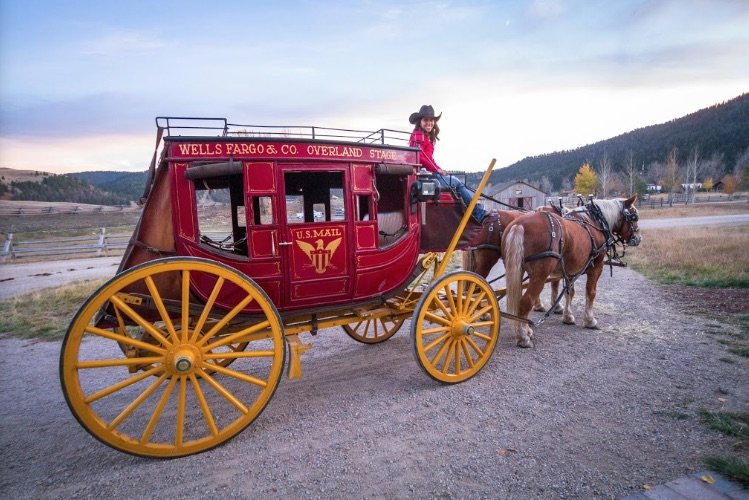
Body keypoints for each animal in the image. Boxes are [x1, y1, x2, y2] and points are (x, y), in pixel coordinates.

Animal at [502, 195, 636, 348]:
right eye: (634, 216)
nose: (637, 238)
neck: (594, 222)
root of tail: (519, 225)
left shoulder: (571, 270)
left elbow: (569, 292)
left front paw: (568, 316)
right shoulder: (597, 266)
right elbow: (591, 292)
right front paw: (590, 320)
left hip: (517, 270)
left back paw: (526, 329)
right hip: (540, 275)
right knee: (526, 301)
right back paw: (523, 337)